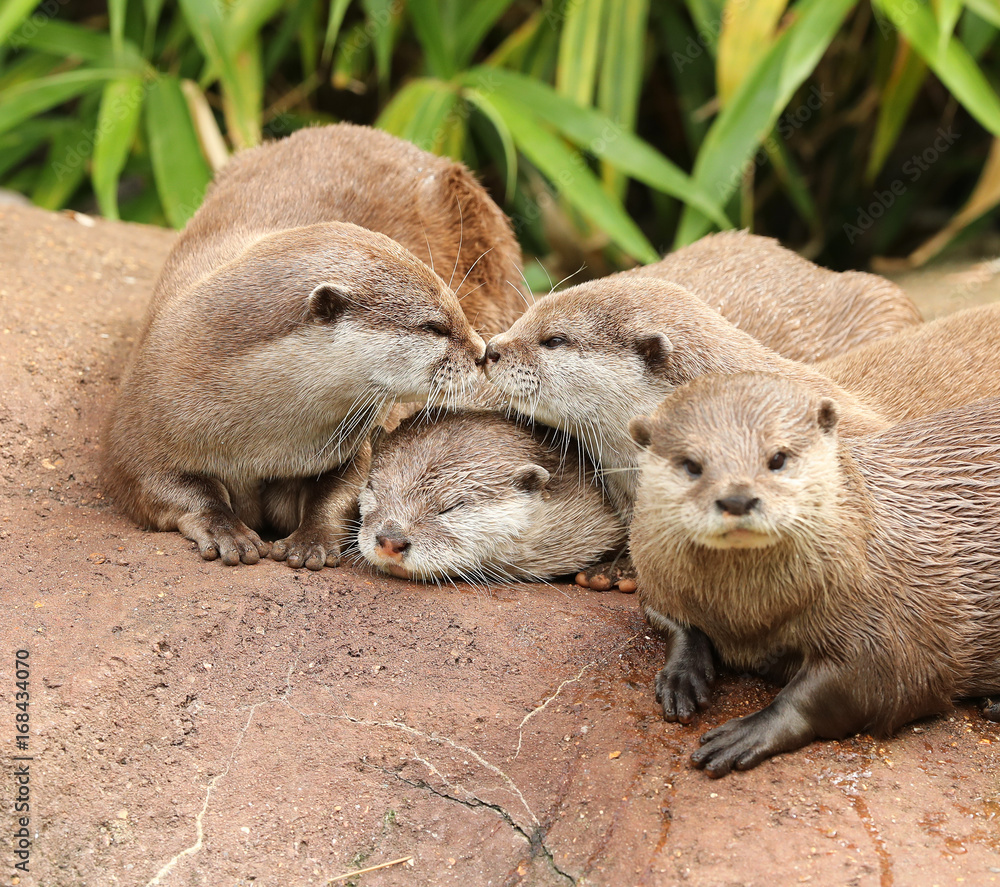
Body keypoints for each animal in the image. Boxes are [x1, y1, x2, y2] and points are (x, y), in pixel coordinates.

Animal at [105, 222, 486, 568]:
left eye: (460, 309)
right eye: (434, 327)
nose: (483, 353)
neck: (261, 445)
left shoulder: (354, 440)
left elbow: (346, 489)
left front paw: (310, 540)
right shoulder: (140, 429)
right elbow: (171, 488)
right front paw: (229, 532)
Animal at [628, 372, 1000, 776]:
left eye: (777, 458)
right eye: (691, 465)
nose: (737, 499)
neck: (744, 616)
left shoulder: (887, 618)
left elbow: (879, 683)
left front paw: (753, 728)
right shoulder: (651, 565)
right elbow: (669, 617)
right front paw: (682, 675)